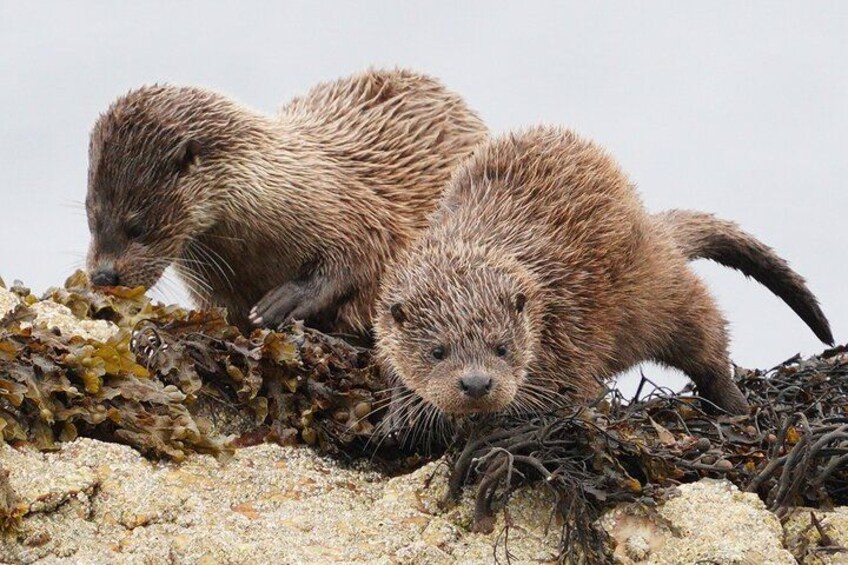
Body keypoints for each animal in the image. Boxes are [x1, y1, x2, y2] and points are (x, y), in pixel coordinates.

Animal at [85, 69, 487, 333]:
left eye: (137, 226)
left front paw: (284, 302)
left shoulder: (353, 210)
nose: (103, 275)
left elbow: (361, 258)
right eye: (92, 219)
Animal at [375, 126, 833, 417]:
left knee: (708, 337)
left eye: (502, 348)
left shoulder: (570, 328)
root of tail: (653, 226)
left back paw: (734, 407)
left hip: (661, 290)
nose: (475, 384)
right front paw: (400, 416)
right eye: (437, 351)